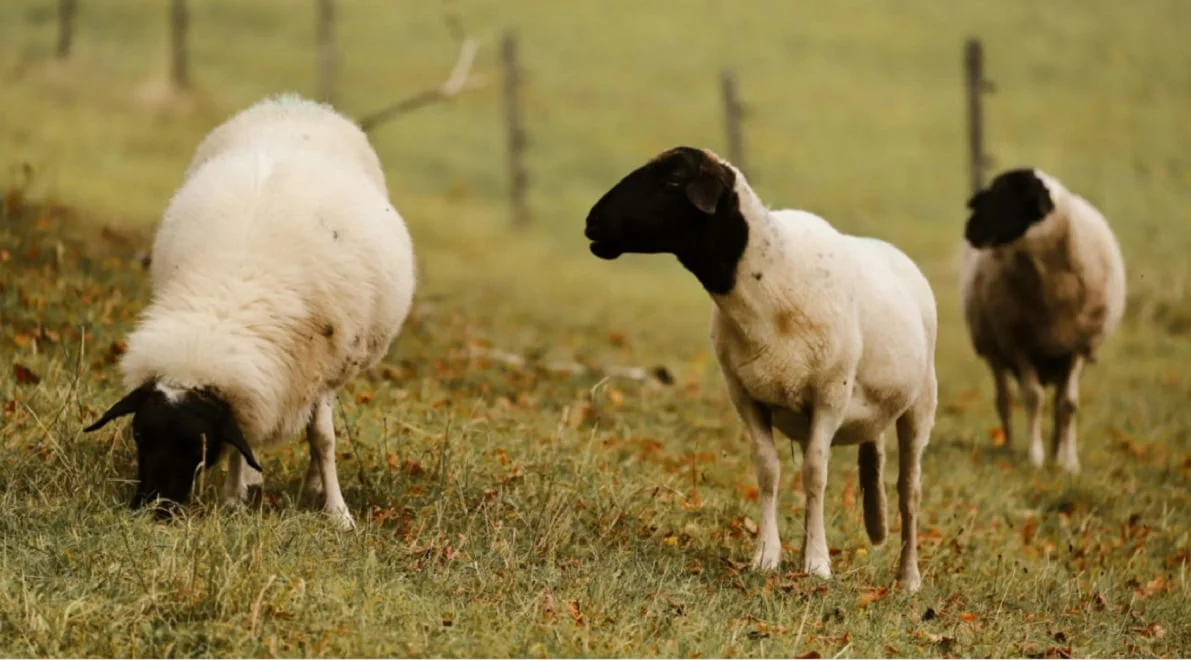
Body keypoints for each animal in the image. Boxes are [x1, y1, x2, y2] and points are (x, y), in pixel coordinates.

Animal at [83, 93, 416, 529]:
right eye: (140, 435)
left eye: (197, 444)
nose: (152, 509)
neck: (223, 311)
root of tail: (297, 104)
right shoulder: (252, 381)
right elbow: (243, 439)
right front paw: (234, 497)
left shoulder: (317, 367)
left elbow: (322, 439)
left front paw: (338, 512)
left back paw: (313, 484)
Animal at [584, 146, 937, 591]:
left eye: (673, 179)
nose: (592, 222)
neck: (766, 279)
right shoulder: (745, 394)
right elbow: (769, 470)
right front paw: (768, 557)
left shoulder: (831, 393)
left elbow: (815, 475)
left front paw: (818, 564)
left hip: (921, 404)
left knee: (910, 491)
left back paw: (908, 578)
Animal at [960, 168, 1126, 474]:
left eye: (1007, 195)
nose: (970, 229)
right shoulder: (1017, 342)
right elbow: (1033, 397)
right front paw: (1034, 457)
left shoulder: (1079, 345)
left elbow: (1069, 404)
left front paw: (1068, 462)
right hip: (993, 348)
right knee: (1004, 400)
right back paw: (1009, 445)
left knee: (1060, 401)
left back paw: (1058, 449)